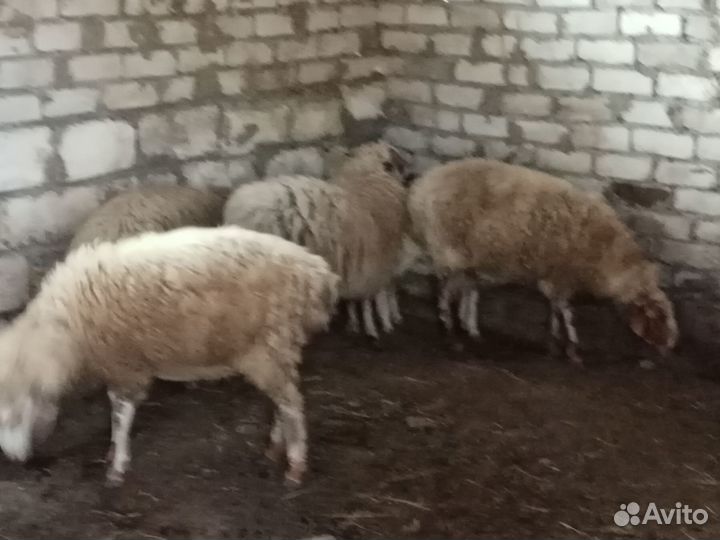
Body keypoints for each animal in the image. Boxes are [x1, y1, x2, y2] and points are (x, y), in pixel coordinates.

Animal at [0, 226, 339, 486]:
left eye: (13, 415)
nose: (16, 459)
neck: (63, 335)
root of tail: (318, 273)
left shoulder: (126, 366)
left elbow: (120, 416)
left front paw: (117, 465)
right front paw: (112, 454)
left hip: (270, 345)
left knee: (292, 404)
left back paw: (295, 465)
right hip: (275, 350)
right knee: (283, 401)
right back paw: (275, 447)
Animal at [223, 142, 414, 339]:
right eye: (397, 158)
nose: (412, 174)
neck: (367, 176)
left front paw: (356, 323)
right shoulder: (377, 261)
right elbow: (376, 298)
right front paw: (381, 325)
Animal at [408, 157, 678, 364]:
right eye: (659, 317)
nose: (670, 348)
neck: (606, 255)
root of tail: (420, 188)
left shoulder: (553, 276)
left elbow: (555, 309)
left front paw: (554, 342)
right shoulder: (561, 276)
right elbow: (565, 312)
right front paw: (571, 349)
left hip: (466, 258)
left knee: (465, 290)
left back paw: (470, 330)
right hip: (448, 251)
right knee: (443, 293)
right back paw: (450, 335)